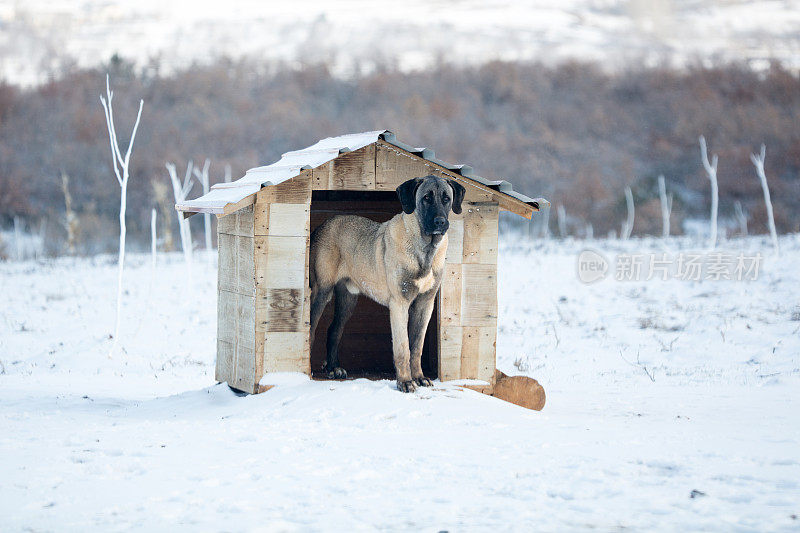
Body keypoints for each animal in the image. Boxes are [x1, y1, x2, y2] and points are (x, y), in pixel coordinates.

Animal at [310, 175, 466, 390]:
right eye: (426, 198)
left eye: (446, 199)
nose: (440, 221)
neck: (424, 250)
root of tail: (322, 225)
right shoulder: (399, 304)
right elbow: (403, 347)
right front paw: (405, 382)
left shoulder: (424, 304)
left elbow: (416, 346)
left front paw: (419, 377)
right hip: (322, 291)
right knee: (310, 328)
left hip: (348, 299)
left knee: (334, 329)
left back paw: (334, 368)